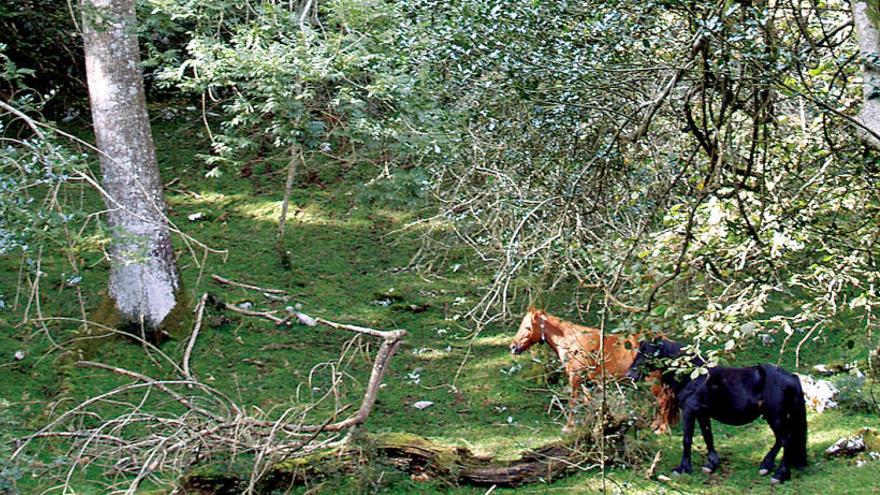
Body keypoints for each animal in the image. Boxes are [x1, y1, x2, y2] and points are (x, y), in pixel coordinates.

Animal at [506, 308, 676, 436]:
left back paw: (661, 429)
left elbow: (573, 401)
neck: (573, 342)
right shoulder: (587, 381)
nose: (513, 347)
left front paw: (569, 427)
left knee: (662, 399)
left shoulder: (575, 377)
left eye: (527, 327)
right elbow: (589, 401)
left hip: (653, 381)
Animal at [624, 340, 804, 484]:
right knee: (780, 440)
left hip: (776, 417)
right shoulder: (702, 413)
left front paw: (682, 469)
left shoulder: (690, 412)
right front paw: (711, 464)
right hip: (772, 417)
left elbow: (687, 439)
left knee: (786, 440)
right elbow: (707, 436)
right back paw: (766, 465)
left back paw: (780, 475)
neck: (693, 377)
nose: (629, 375)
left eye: (649, 353)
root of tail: (792, 377)